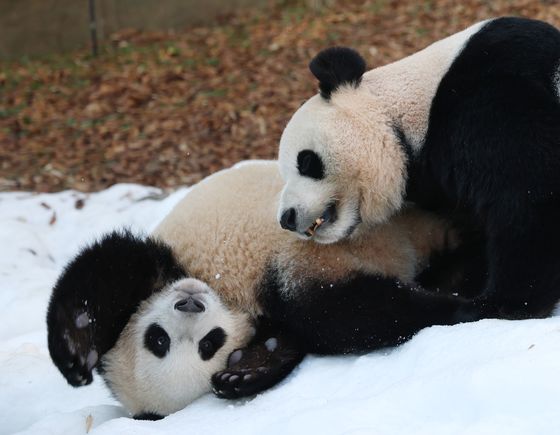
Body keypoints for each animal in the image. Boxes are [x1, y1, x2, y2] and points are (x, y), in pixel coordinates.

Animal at [47, 160, 482, 418]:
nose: (190, 304)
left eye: (156, 339)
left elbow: (107, 269)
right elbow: (329, 318)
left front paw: (76, 348)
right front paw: (245, 371)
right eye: (211, 345)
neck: (228, 292)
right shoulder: (281, 299)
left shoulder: (171, 258)